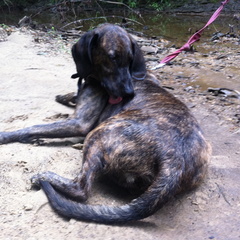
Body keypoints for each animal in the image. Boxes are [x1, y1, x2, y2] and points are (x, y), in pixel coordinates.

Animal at [0, 23, 210, 223]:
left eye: (130, 59)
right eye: (112, 58)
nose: (129, 93)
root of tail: (175, 161)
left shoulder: (80, 123)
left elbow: (34, 127)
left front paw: (6, 135)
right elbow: (73, 94)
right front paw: (64, 96)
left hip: (99, 133)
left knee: (81, 188)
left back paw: (44, 177)